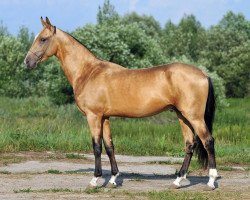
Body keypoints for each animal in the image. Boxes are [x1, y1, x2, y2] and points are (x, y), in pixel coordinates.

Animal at [24, 16, 218, 189]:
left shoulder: (93, 116)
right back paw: (178, 180)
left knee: (208, 141)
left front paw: (95, 180)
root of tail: (203, 74)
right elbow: (109, 146)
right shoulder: (105, 118)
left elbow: (96, 146)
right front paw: (113, 179)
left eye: (43, 39)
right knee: (190, 144)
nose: (27, 62)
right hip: (182, 116)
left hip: (194, 117)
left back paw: (211, 181)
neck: (88, 72)